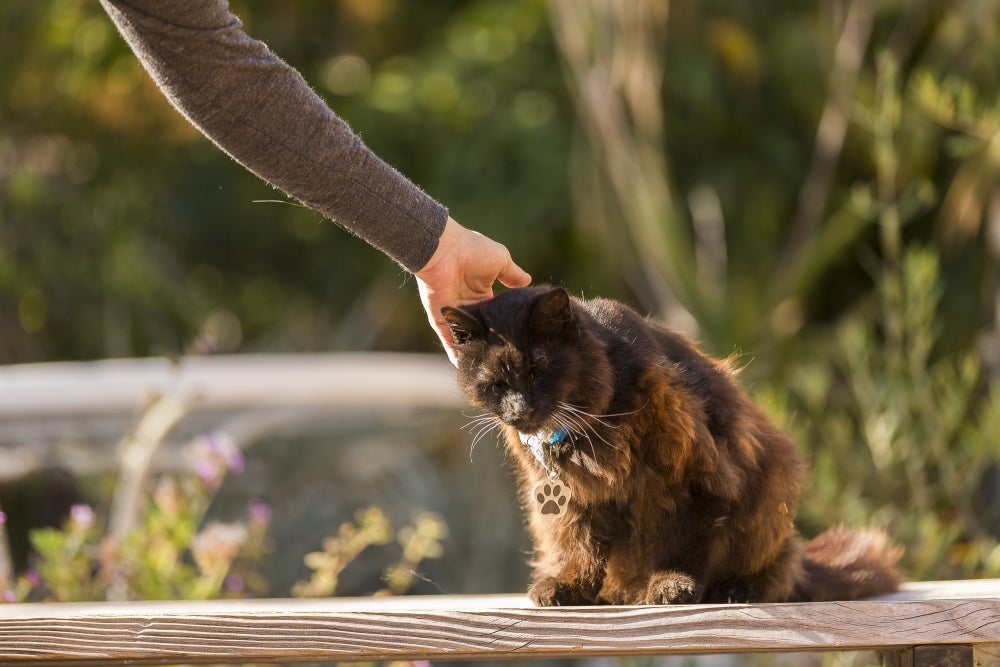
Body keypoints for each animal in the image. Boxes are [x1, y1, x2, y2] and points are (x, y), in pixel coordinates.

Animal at [442, 284, 904, 608]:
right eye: (496, 384)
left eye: (539, 370)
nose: (520, 409)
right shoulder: (572, 501)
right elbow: (577, 547)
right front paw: (569, 586)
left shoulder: (693, 478)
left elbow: (681, 542)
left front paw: (671, 584)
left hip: (774, 484)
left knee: (780, 569)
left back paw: (737, 588)